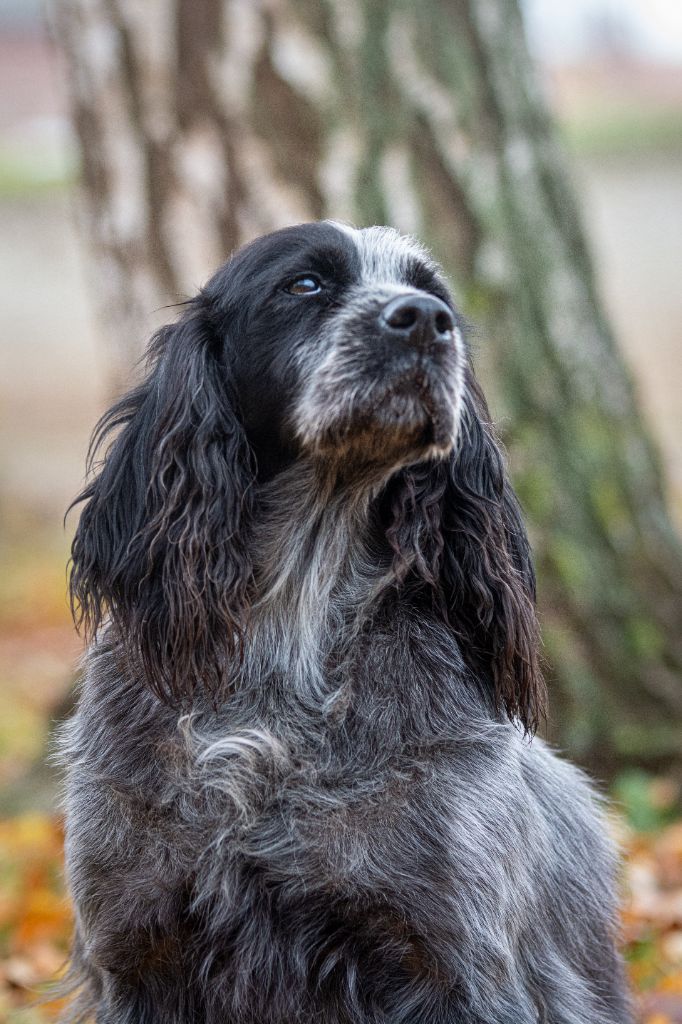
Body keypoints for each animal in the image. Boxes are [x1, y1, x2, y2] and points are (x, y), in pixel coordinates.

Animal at [61, 220, 630, 1019]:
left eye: (432, 291)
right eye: (304, 284)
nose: (424, 321)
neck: (286, 639)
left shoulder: (451, 962)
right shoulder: (140, 953)